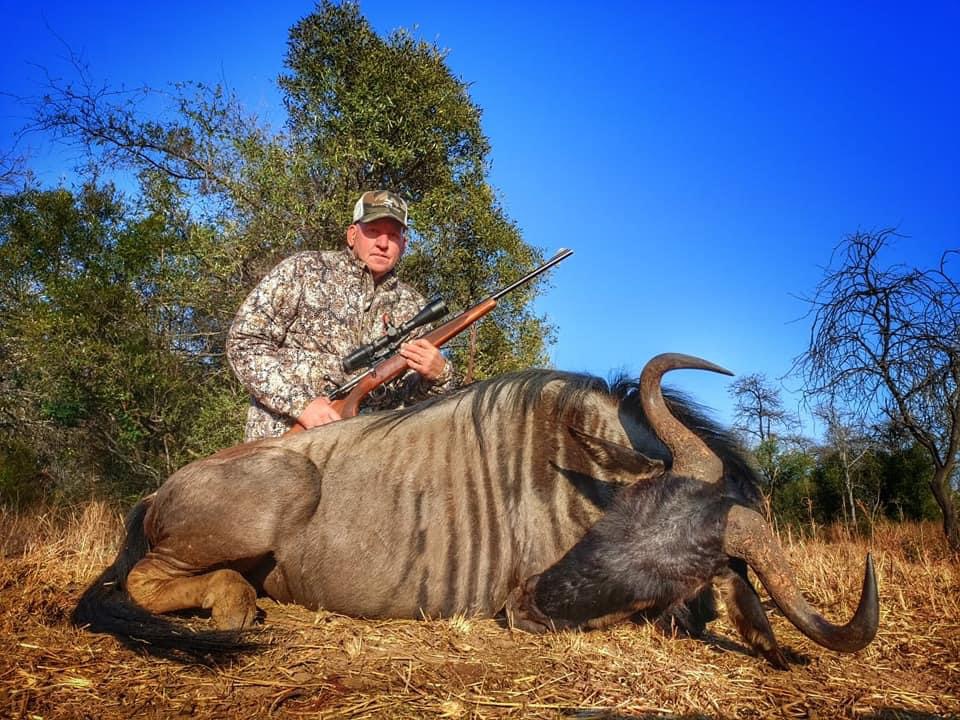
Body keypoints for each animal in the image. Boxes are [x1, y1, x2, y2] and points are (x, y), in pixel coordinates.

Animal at [73, 353, 878, 667]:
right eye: (619, 519)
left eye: (681, 575)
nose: (532, 603)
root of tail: (159, 493)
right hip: (282, 487)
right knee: (144, 581)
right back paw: (236, 606)